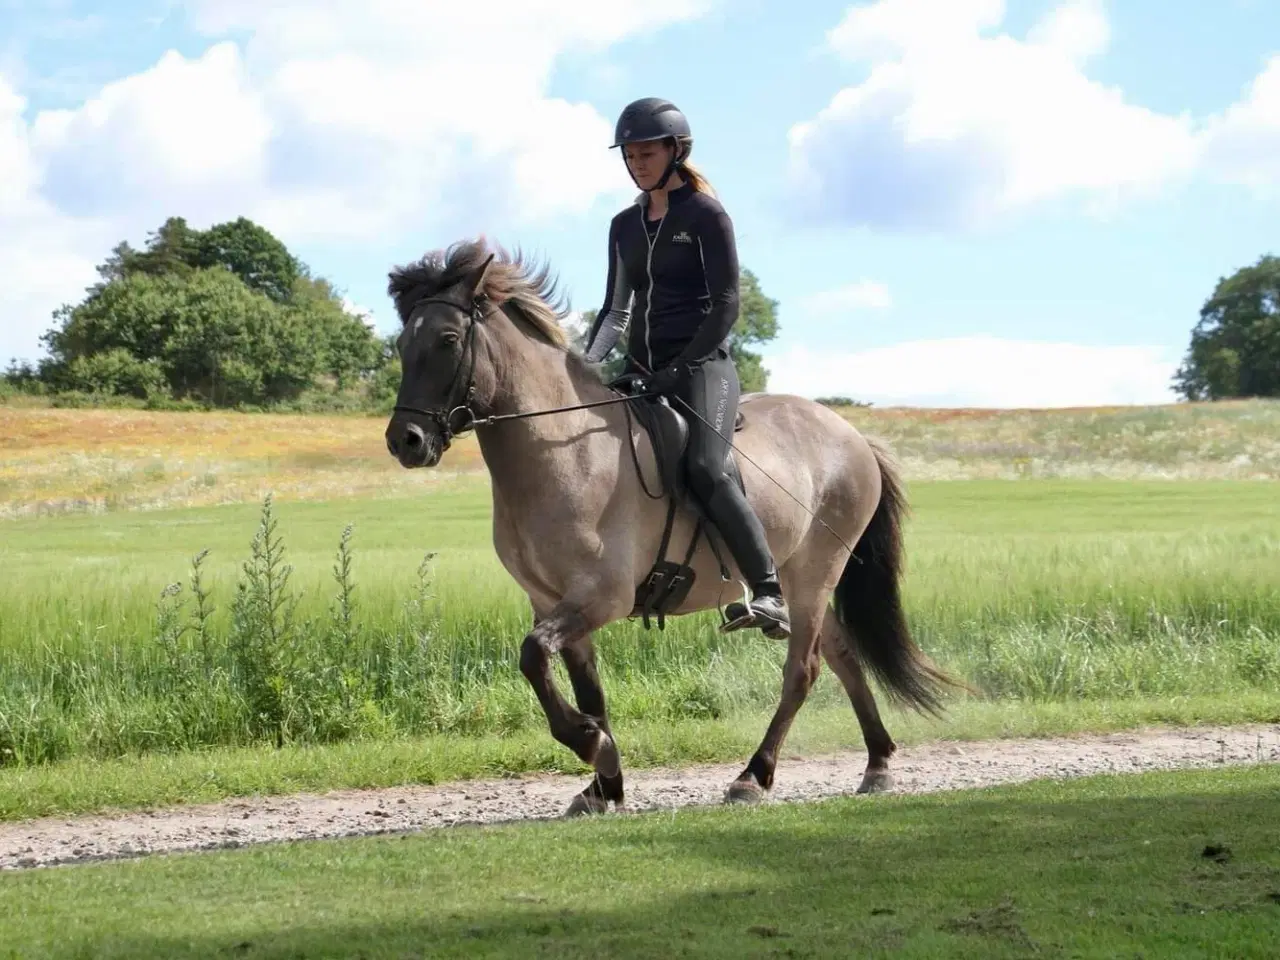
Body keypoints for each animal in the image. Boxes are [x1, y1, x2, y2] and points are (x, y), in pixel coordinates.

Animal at [384, 236, 962, 814]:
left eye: (448, 339)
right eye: (402, 343)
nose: (405, 441)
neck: (563, 451)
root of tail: (854, 436)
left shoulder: (601, 595)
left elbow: (532, 656)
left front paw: (592, 745)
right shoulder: (551, 600)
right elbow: (581, 685)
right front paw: (605, 781)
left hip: (817, 571)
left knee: (803, 671)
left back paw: (753, 776)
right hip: (805, 578)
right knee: (841, 656)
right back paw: (878, 763)